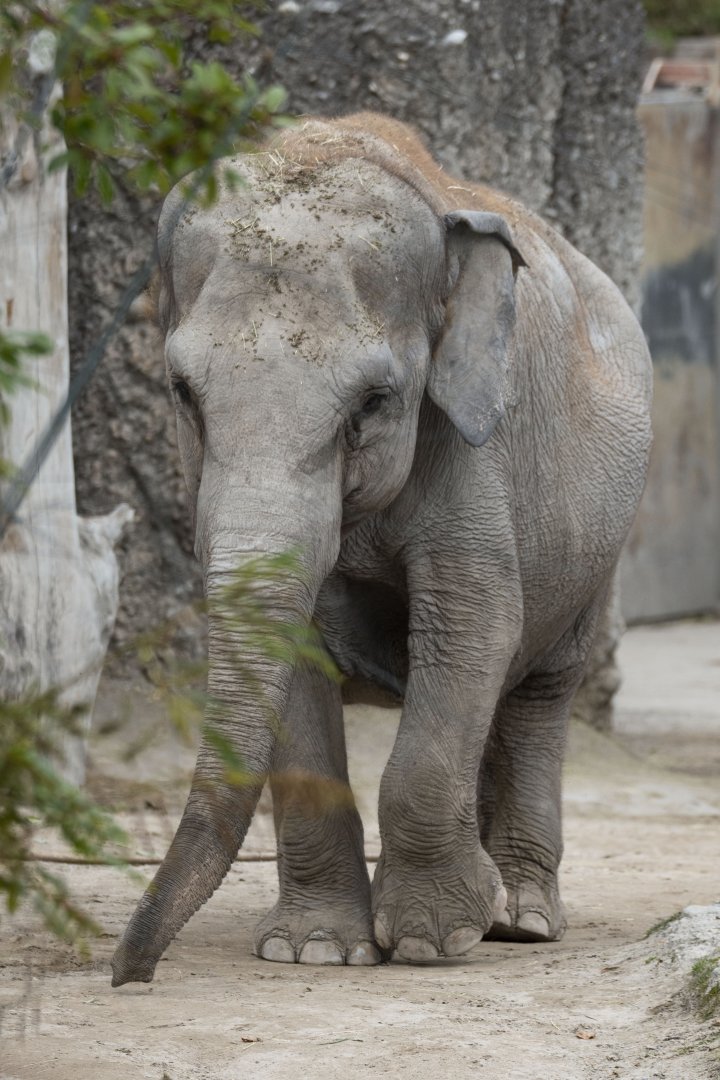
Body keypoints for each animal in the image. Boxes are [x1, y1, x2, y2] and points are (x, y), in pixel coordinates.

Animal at [110, 112, 652, 985]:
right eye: (182, 395)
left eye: (372, 402)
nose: (129, 972)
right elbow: (295, 661)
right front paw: (316, 950)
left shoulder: (472, 449)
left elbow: (472, 627)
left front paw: (436, 941)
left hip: (603, 538)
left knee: (541, 687)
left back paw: (522, 920)